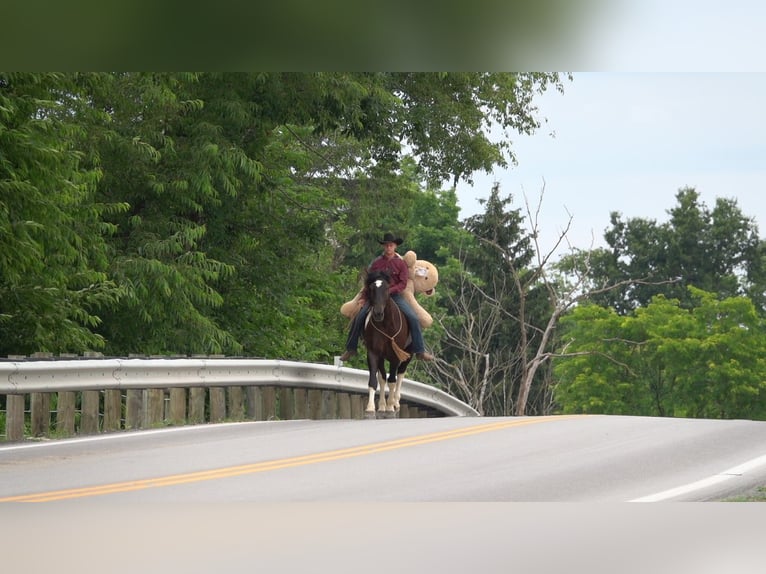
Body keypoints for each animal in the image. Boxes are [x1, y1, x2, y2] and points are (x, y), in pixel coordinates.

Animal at [362, 268, 412, 420]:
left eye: (387, 288)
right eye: (371, 288)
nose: (378, 313)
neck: (385, 325)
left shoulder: (396, 355)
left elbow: (392, 380)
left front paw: (390, 408)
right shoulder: (373, 353)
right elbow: (375, 380)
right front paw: (370, 409)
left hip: (409, 355)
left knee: (400, 375)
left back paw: (395, 403)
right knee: (382, 377)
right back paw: (382, 407)